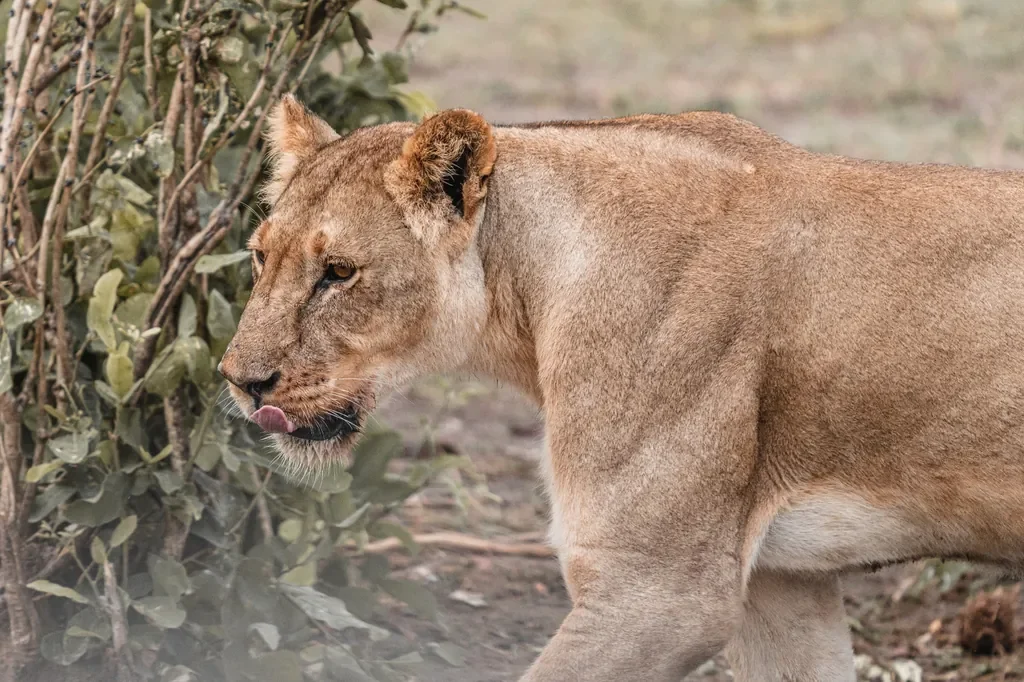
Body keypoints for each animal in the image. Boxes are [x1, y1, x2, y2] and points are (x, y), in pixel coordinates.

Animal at [219, 94, 1024, 681]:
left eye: (339, 273)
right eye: (260, 257)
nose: (239, 381)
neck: (532, 292)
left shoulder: (661, 593)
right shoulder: (778, 582)